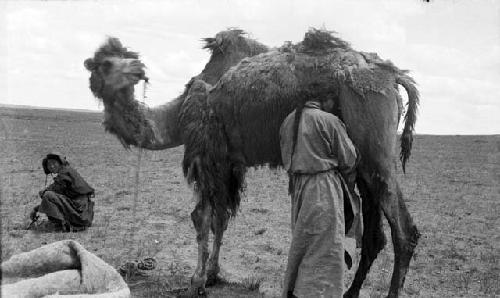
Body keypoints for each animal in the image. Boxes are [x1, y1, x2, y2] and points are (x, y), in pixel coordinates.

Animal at [84, 28, 420, 298]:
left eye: (121, 59)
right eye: (107, 63)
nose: (139, 68)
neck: (176, 116)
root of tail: (394, 76)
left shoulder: (207, 153)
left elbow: (201, 216)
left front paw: (196, 281)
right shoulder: (232, 162)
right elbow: (222, 217)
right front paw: (214, 274)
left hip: (375, 149)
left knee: (404, 231)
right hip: (363, 163)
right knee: (376, 235)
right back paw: (350, 292)